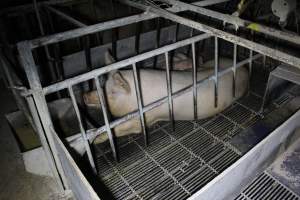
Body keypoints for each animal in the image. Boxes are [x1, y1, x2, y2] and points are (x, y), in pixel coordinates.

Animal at [83, 52, 247, 145]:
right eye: (102, 85)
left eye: (110, 92)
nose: (84, 96)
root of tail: (245, 70)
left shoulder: (145, 118)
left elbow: (122, 128)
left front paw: (95, 140)